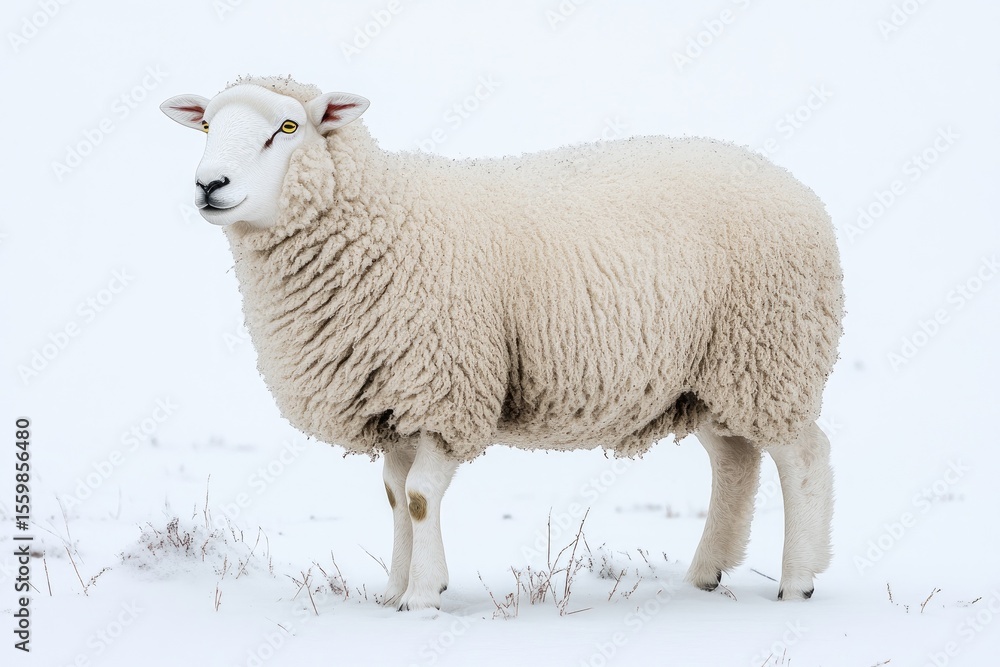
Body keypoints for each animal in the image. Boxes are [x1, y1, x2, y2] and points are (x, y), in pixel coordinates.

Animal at [161, 75, 843, 611]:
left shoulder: (446, 389)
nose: (210, 184)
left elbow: (417, 497)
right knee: (734, 460)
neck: (378, 218)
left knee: (802, 458)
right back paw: (706, 573)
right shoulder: (393, 398)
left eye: (288, 125)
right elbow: (394, 497)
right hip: (712, 372)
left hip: (772, 352)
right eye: (207, 126)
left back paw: (797, 583)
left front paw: (423, 594)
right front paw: (393, 591)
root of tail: (797, 188)